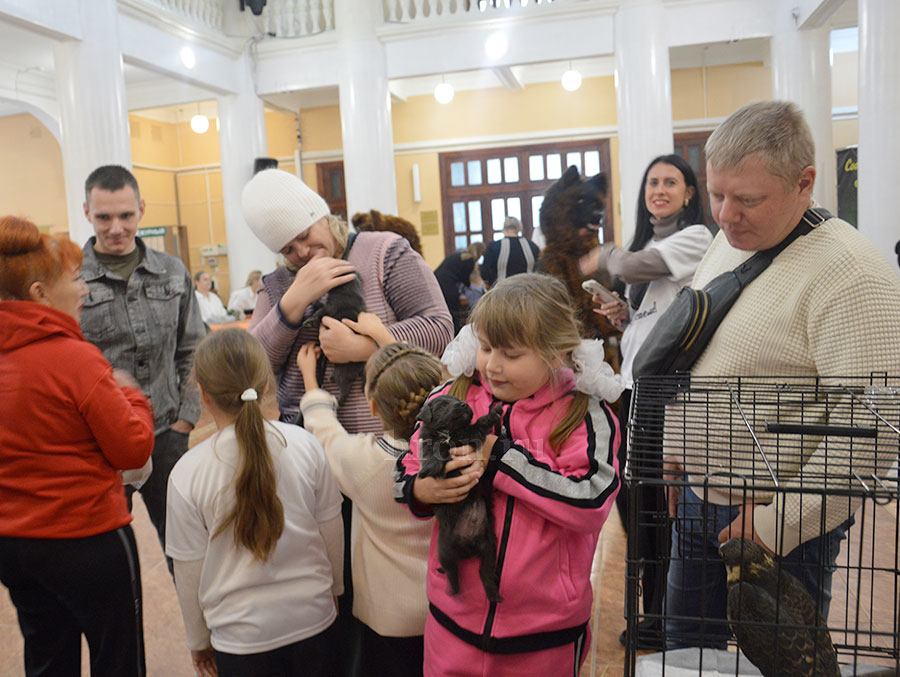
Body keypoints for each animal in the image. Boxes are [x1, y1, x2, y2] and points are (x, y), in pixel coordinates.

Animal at [304, 272, 368, 404]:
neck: (348, 289)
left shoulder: (328, 308)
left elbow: (318, 313)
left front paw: (310, 320)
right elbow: (319, 306)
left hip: (342, 371)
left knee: (345, 388)